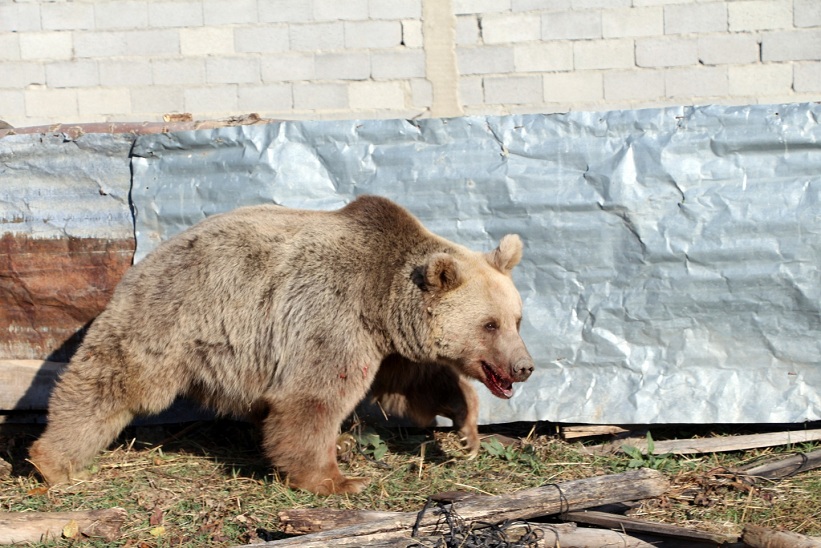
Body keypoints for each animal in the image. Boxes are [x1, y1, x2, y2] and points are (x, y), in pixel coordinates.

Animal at [28, 195, 532, 494]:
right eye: (489, 324)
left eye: (516, 319)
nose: (524, 366)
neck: (382, 299)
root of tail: (148, 256)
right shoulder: (331, 316)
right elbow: (312, 399)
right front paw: (336, 479)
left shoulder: (388, 344)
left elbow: (418, 384)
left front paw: (467, 429)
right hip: (174, 316)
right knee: (112, 381)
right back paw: (51, 461)